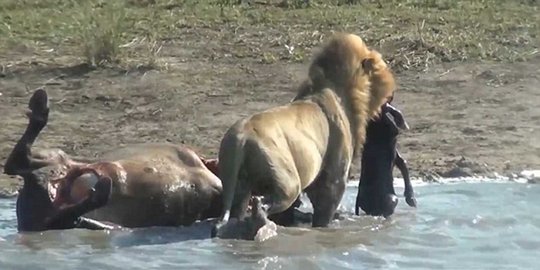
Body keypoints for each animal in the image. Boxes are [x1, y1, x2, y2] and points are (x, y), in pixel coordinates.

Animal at [215, 33, 396, 238]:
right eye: (382, 66)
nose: (392, 89)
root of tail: (241, 138)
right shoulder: (333, 177)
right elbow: (324, 211)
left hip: (235, 180)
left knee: (233, 213)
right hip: (288, 179)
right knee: (266, 202)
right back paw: (259, 218)